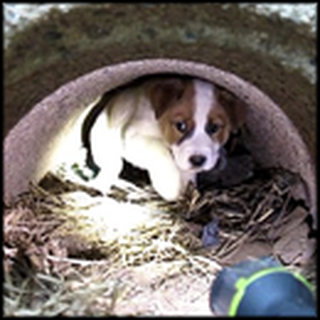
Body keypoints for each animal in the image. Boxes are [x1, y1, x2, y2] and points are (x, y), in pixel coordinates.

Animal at [81, 75, 246, 200]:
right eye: (180, 126)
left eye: (214, 128)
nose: (198, 160)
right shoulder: (134, 136)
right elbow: (160, 148)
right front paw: (170, 185)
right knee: (113, 166)